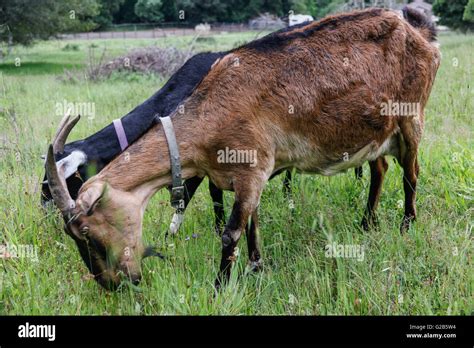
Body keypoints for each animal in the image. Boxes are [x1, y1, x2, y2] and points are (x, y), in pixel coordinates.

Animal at [45, 8, 440, 290]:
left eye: (88, 234)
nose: (114, 285)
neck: (212, 112)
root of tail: (419, 34)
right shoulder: (242, 177)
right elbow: (252, 222)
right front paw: (256, 265)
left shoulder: (253, 168)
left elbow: (230, 232)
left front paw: (221, 286)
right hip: (375, 134)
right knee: (380, 169)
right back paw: (367, 222)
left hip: (411, 119)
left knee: (411, 172)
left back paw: (406, 224)